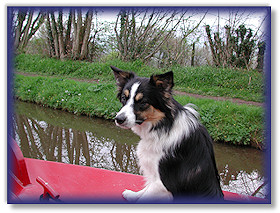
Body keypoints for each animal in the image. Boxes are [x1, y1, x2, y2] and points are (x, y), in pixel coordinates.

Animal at [111, 65, 223, 202]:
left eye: (143, 102)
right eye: (123, 98)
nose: (119, 119)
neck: (164, 125)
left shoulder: (165, 183)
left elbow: (145, 196)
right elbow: (146, 189)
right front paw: (133, 195)